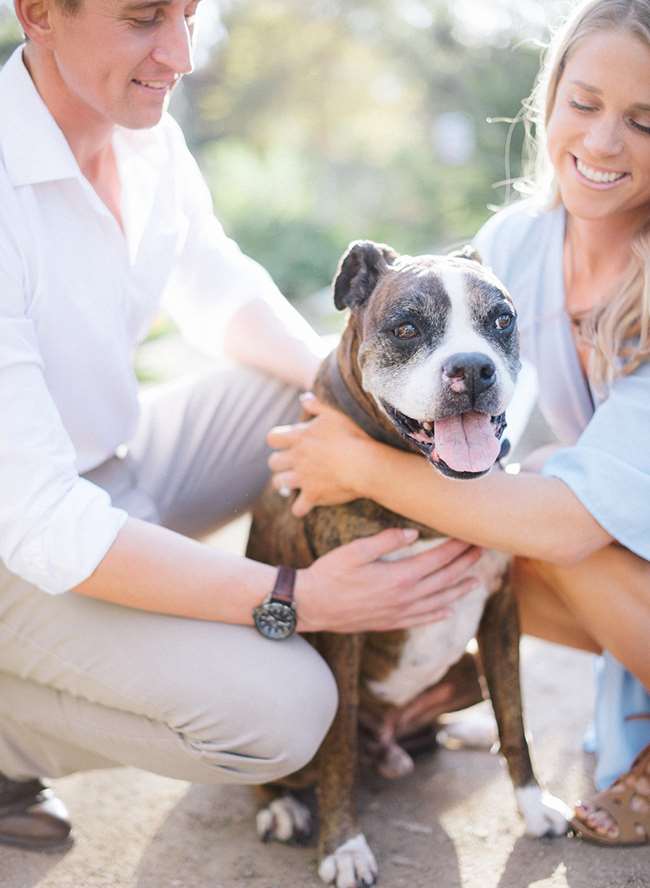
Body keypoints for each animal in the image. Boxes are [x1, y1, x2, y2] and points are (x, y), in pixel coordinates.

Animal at [246, 241, 568, 888]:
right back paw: (282, 807)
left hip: (465, 665)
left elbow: (516, 716)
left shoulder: (502, 610)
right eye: (406, 328)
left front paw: (532, 805)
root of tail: (390, 742)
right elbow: (337, 751)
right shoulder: (341, 629)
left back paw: (465, 729)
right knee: (280, 772)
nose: (473, 368)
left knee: (463, 712)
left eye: (502, 320)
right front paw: (344, 847)